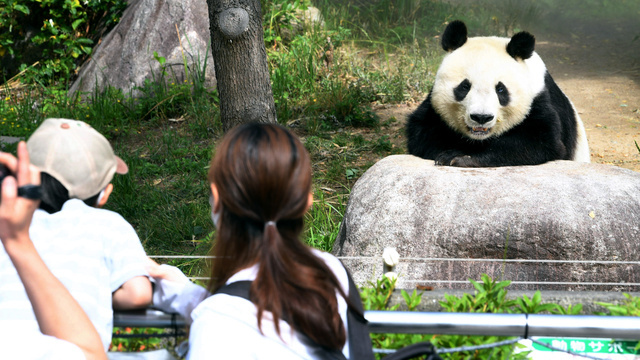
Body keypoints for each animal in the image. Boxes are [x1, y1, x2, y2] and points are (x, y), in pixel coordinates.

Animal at [404, 19, 592, 166]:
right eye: (464, 87)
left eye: (501, 89)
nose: (481, 117)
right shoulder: (433, 107)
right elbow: (422, 132)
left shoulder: (538, 99)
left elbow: (540, 142)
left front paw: (460, 156)